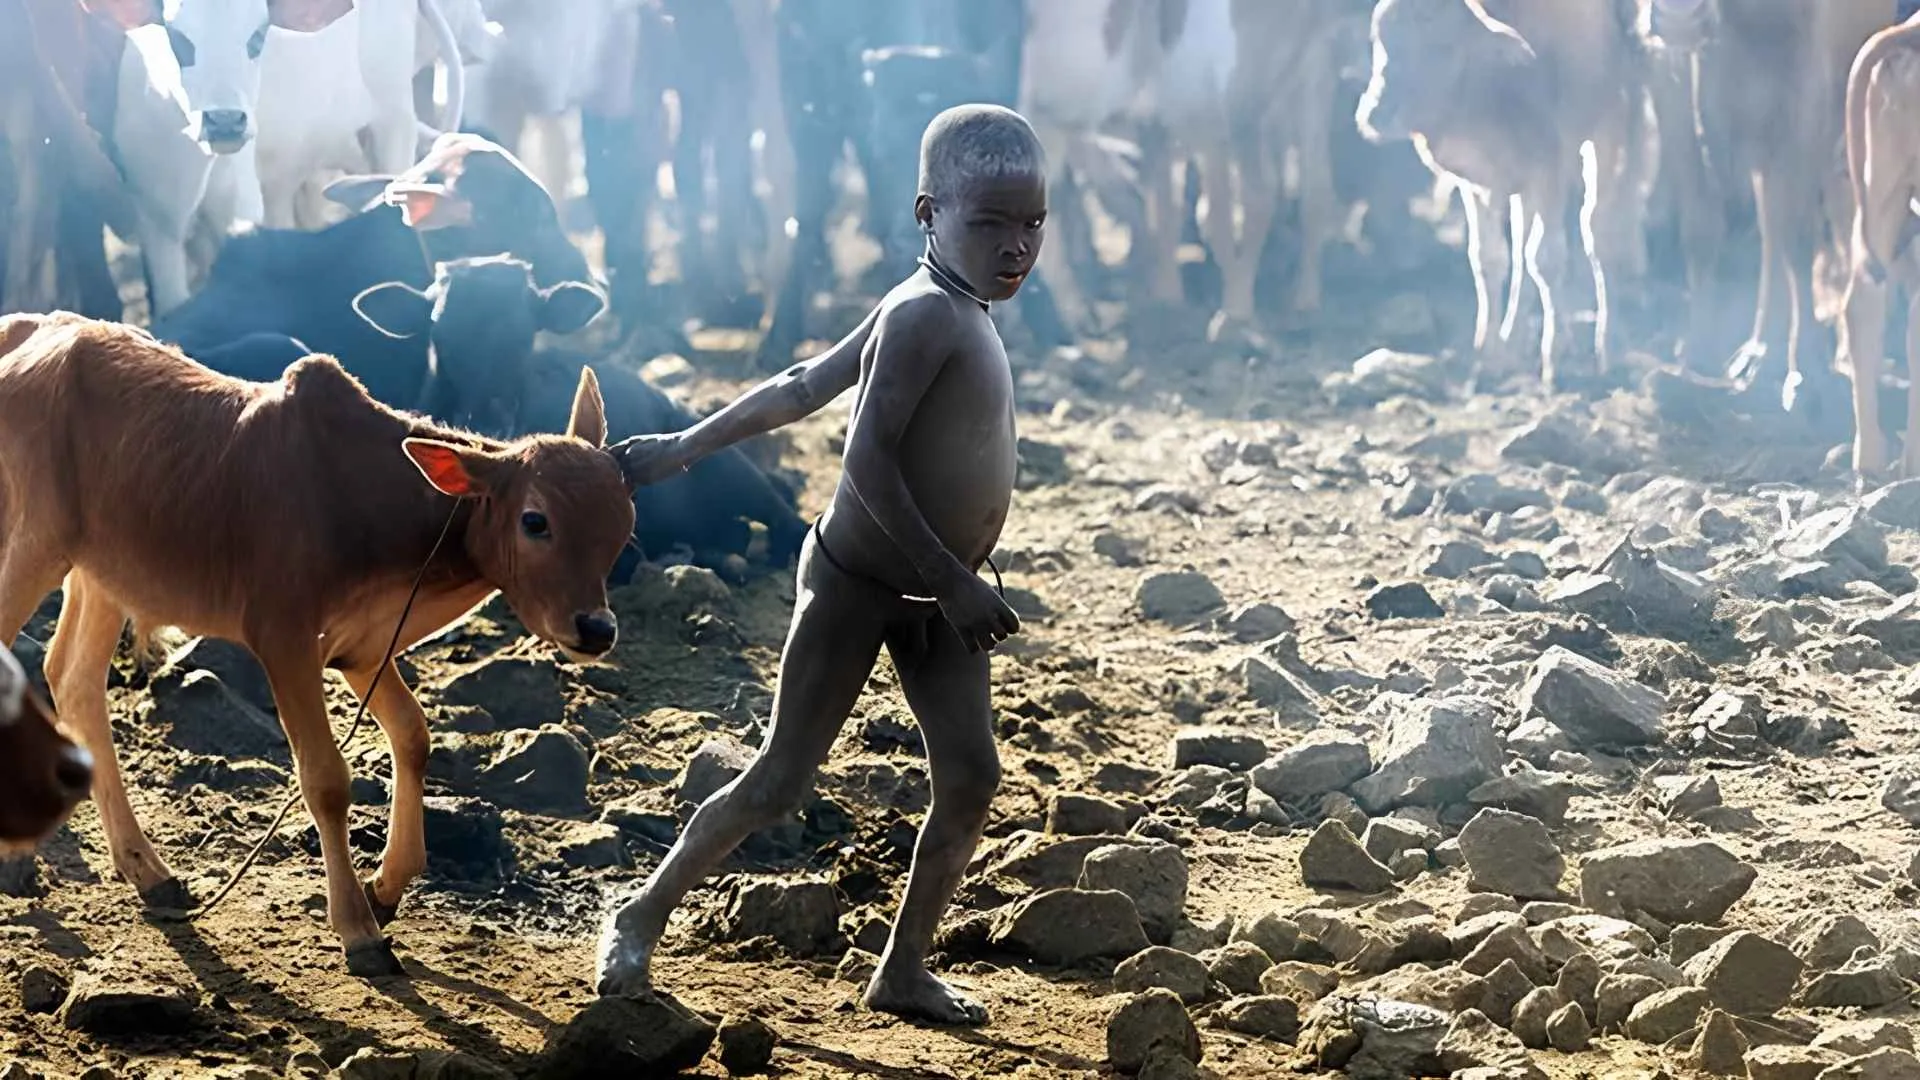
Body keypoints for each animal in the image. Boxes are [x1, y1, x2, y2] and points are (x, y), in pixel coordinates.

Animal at [1356, 0, 1612, 395]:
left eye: (1442, 45)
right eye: (1379, 39)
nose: (1375, 114)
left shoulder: (1550, 168)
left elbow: (1547, 259)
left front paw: (1554, 362)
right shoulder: (1477, 182)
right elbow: (1487, 258)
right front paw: (1487, 359)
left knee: (1595, 235)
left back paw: (1601, 349)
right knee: (1521, 248)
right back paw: (1516, 339)